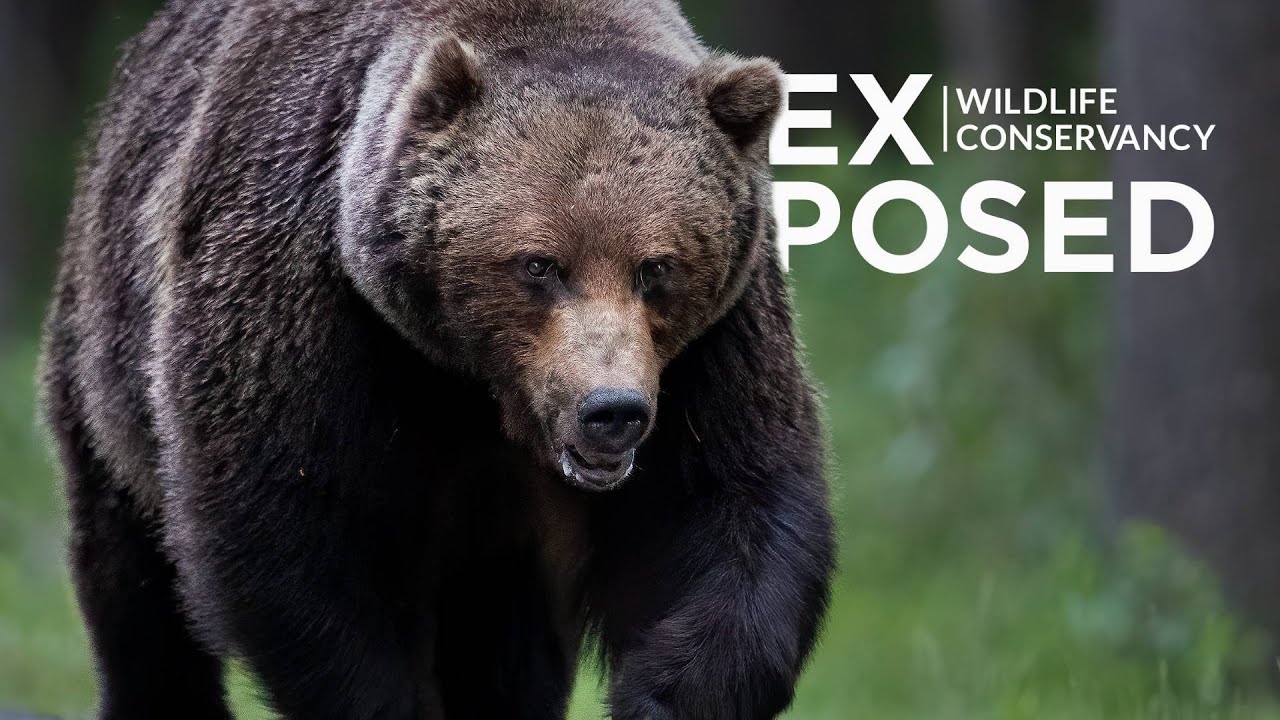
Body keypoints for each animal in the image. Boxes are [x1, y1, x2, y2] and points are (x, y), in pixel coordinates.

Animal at [39, 0, 836, 718]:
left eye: (656, 267)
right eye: (538, 264)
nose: (612, 412)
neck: (474, 386)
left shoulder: (716, 347)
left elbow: (731, 508)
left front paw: (661, 696)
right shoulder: (306, 303)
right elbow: (288, 525)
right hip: (107, 350)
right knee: (133, 578)